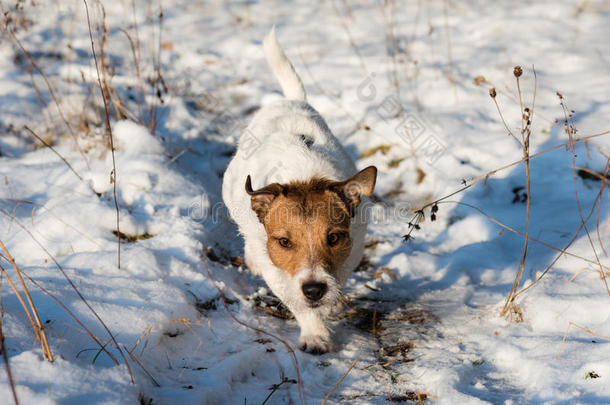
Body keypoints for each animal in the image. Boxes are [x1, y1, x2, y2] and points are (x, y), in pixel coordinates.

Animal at [223, 26, 376, 352]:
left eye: (333, 237)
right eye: (284, 242)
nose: (315, 289)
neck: (304, 176)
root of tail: (289, 101)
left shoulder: (355, 243)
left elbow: (341, 273)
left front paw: (331, 303)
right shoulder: (277, 266)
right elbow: (293, 296)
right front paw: (315, 333)